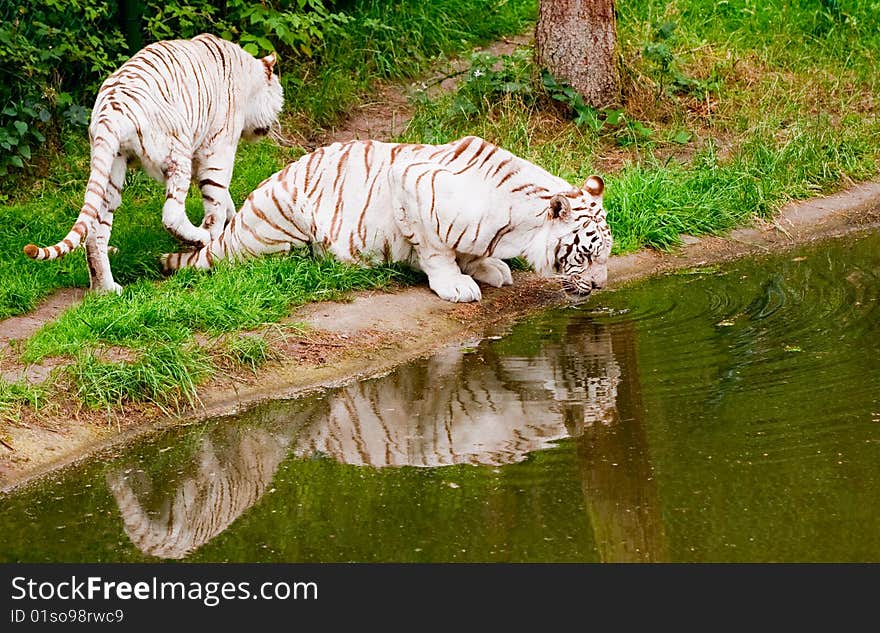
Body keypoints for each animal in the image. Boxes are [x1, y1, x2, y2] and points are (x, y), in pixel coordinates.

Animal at [21, 32, 282, 294]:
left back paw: (106, 290)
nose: (272, 125)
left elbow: (223, 197)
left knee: (95, 234)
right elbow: (216, 199)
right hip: (176, 154)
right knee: (171, 215)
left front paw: (232, 220)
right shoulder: (217, 150)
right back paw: (200, 238)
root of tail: (109, 114)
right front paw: (216, 234)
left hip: (111, 170)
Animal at [165, 134, 616, 302]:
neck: (519, 227)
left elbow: (470, 252)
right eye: (585, 255)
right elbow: (438, 251)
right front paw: (456, 284)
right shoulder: (412, 184)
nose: (600, 285)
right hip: (280, 223)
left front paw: (488, 267)